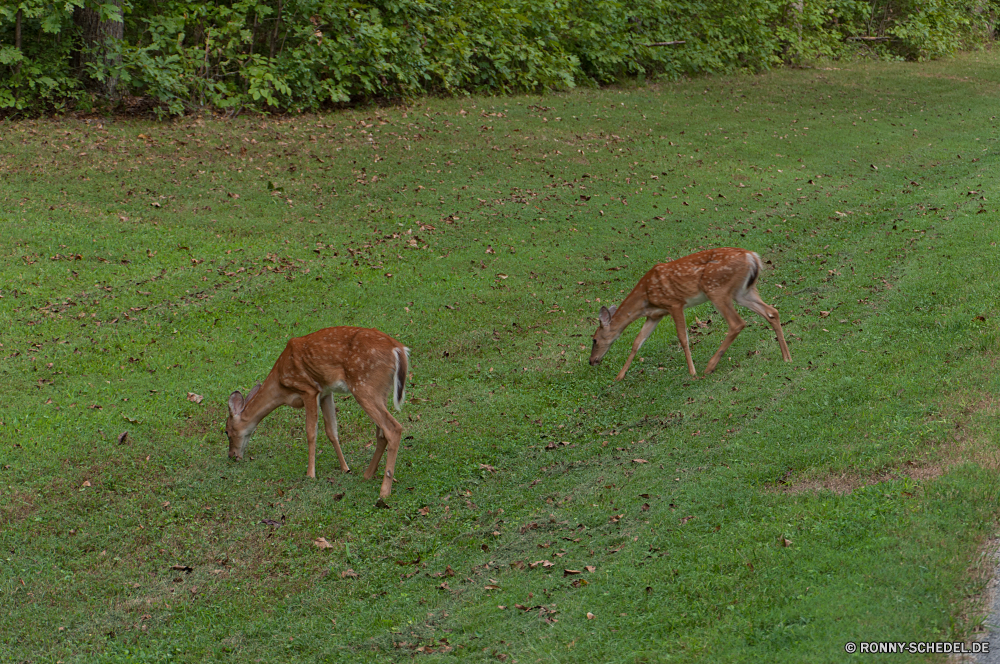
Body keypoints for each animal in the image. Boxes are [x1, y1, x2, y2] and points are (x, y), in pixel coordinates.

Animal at [227, 326, 410, 498]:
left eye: (227, 432)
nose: (231, 455)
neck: (281, 386)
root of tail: (399, 349)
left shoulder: (308, 389)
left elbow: (311, 432)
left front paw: (310, 474)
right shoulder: (325, 393)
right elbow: (332, 431)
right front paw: (345, 468)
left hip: (364, 385)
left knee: (393, 428)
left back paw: (384, 491)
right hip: (380, 391)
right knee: (381, 433)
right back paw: (367, 475)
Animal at [584, 248, 788, 384]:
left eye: (594, 339)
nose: (591, 361)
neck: (645, 298)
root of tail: (752, 257)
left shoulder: (674, 303)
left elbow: (683, 337)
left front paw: (692, 372)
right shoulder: (655, 315)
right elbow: (637, 342)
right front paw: (619, 376)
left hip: (717, 289)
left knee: (737, 323)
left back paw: (709, 367)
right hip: (742, 292)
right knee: (772, 312)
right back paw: (787, 357)